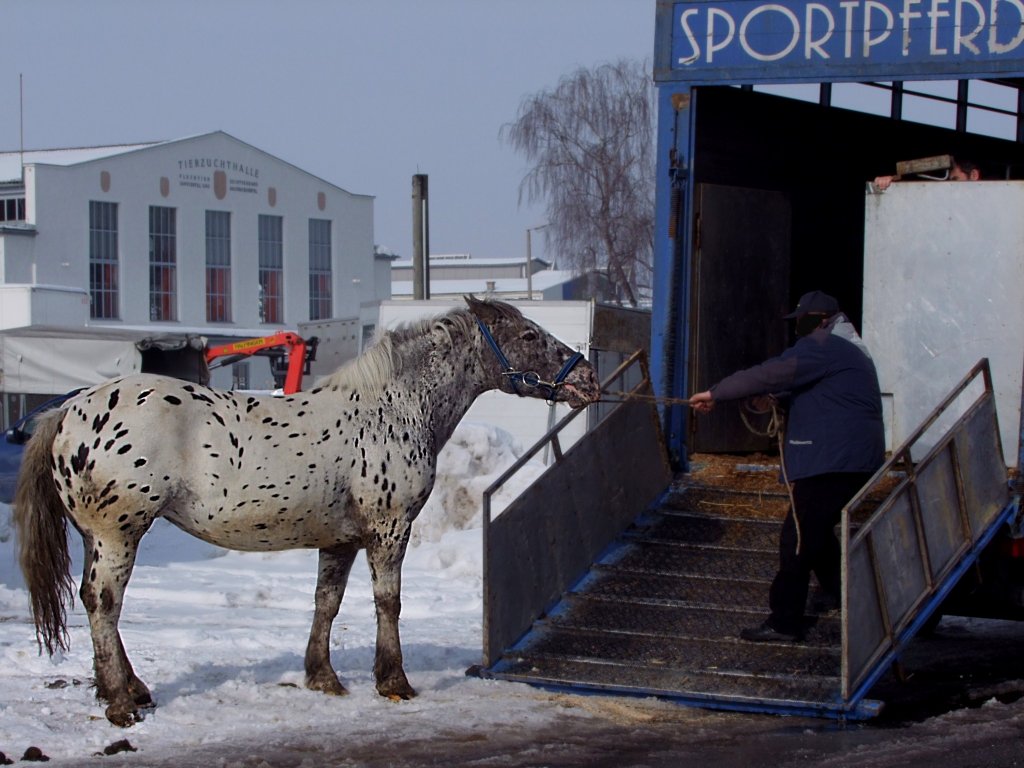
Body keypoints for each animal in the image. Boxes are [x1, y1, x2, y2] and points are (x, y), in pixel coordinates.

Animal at [14, 296, 598, 729]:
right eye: (528, 336)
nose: (588, 380)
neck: (393, 408)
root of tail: (70, 409)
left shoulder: (339, 540)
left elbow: (327, 603)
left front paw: (324, 678)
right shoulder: (389, 530)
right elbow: (388, 603)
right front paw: (394, 683)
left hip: (98, 536)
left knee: (97, 603)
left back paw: (129, 690)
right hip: (119, 533)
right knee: (104, 603)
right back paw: (119, 703)